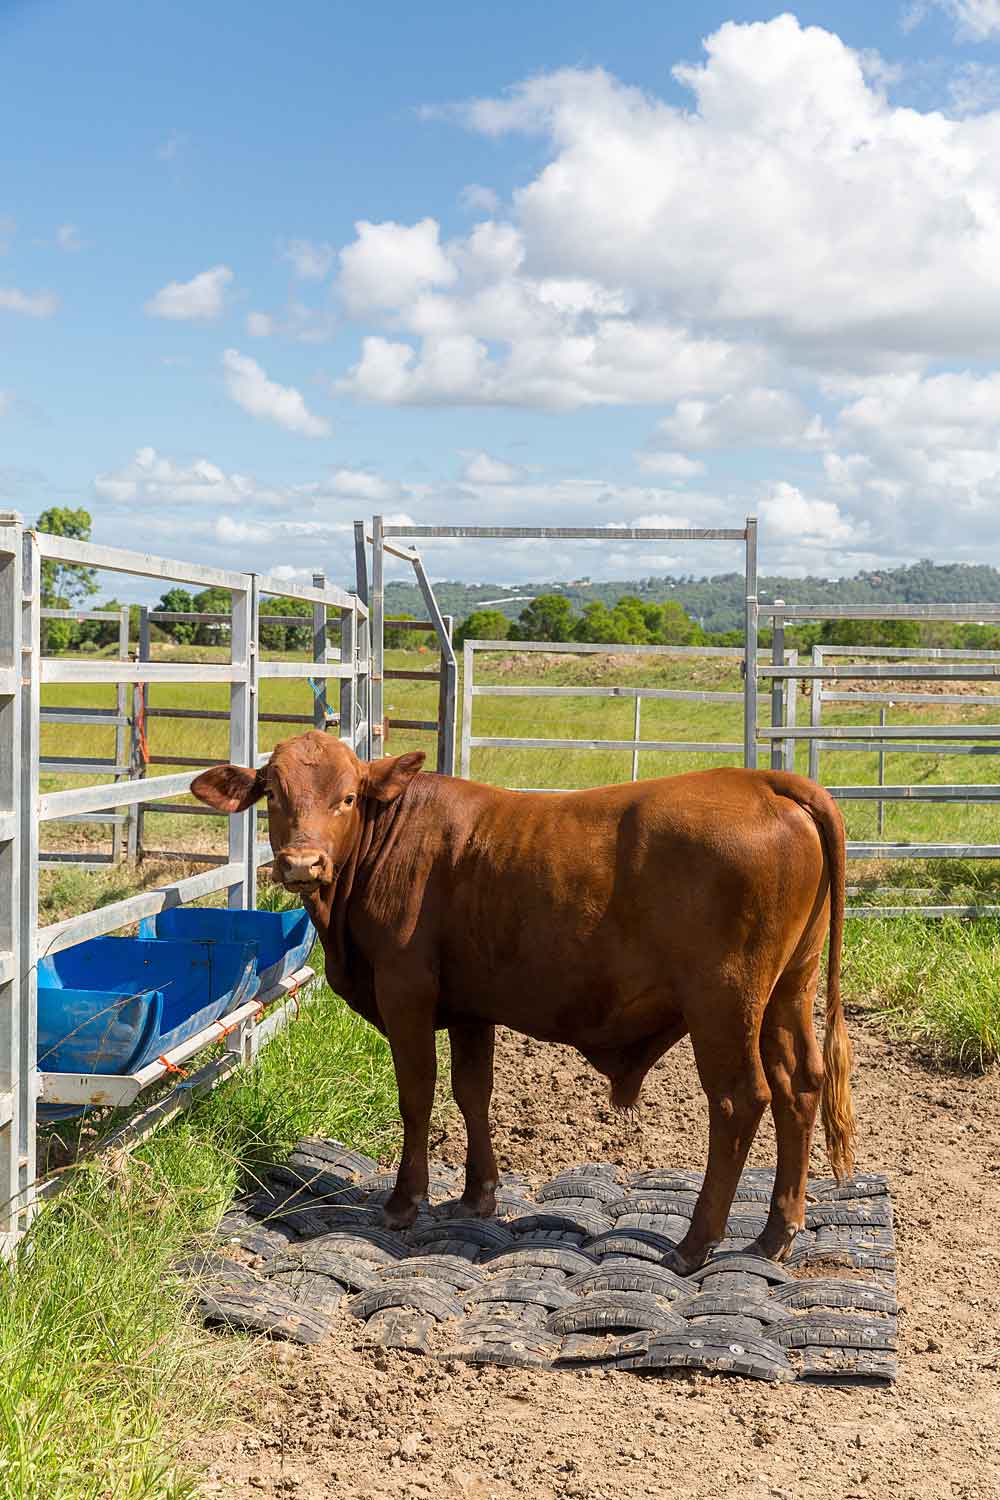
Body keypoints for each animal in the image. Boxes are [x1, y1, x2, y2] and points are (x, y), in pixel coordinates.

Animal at [192, 732, 855, 1273]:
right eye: (274, 793)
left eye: (348, 796)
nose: (302, 864)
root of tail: (761, 780)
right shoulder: (470, 1007)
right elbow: (472, 1092)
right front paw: (477, 1196)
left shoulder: (406, 992)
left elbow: (417, 1095)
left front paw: (405, 1202)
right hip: (788, 991)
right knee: (798, 1086)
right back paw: (775, 1234)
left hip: (723, 1000)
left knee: (739, 1100)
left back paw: (696, 1243)